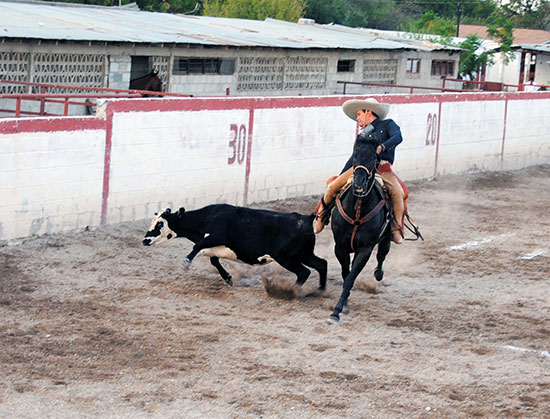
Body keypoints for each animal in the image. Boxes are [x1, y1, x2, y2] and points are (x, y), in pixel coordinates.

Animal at [144, 206, 330, 288]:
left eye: (160, 223)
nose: (145, 240)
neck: (206, 218)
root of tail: (306, 218)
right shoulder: (215, 246)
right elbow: (213, 260)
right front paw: (228, 278)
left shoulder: (217, 236)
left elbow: (198, 246)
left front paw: (187, 262)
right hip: (304, 254)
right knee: (321, 264)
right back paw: (320, 290)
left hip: (286, 257)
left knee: (304, 272)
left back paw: (292, 291)